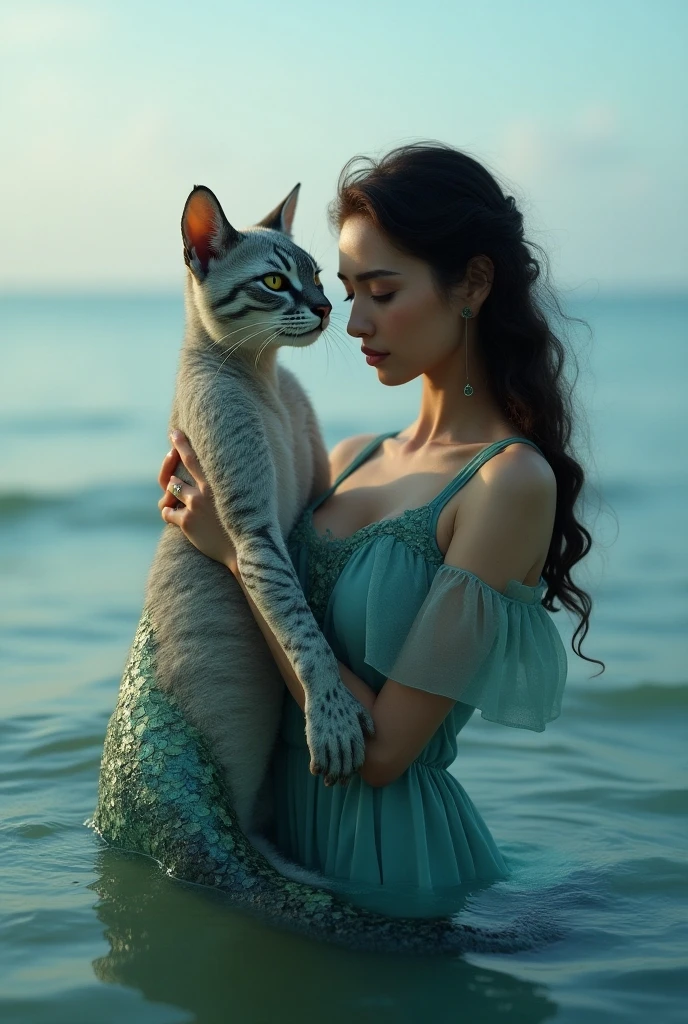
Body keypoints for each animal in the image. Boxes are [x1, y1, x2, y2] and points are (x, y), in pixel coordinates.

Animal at [141, 184, 370, 835]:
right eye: (273, 282)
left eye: (317, 275)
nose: (324, 308)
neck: (263, 377)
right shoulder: (255, 532)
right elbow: (302, 630)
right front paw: (332, 716)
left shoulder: (311, 497)